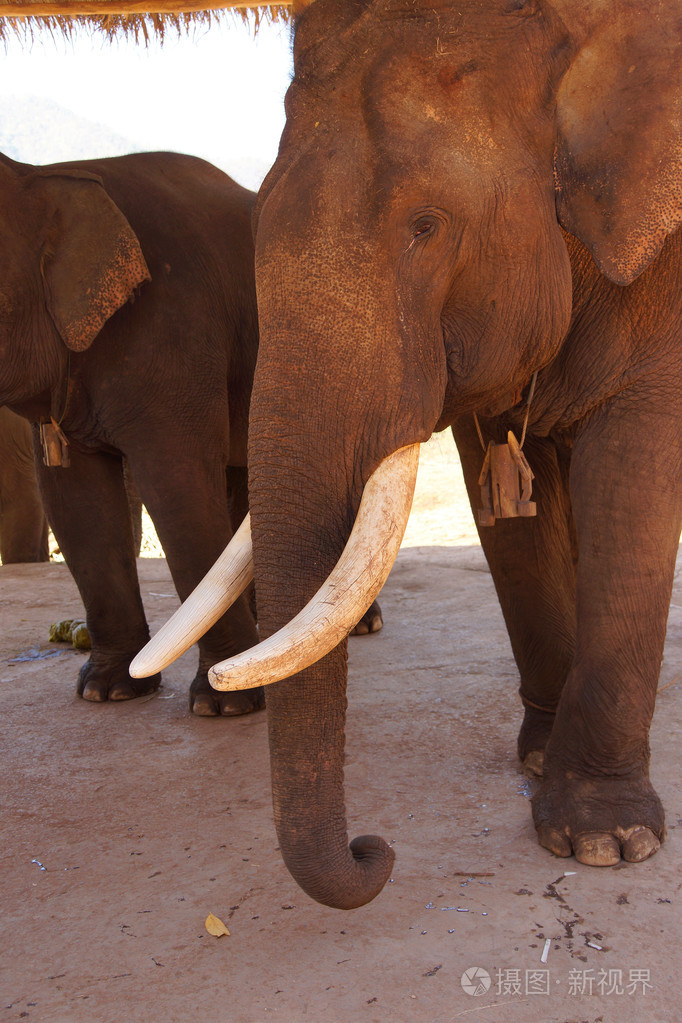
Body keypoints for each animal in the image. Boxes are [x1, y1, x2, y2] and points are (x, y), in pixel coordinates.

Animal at [135, 0, 682, 908]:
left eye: (427, 227)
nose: (374, 848)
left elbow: (632, 475)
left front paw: (603, 841)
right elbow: (508, 506)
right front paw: (539, 757)